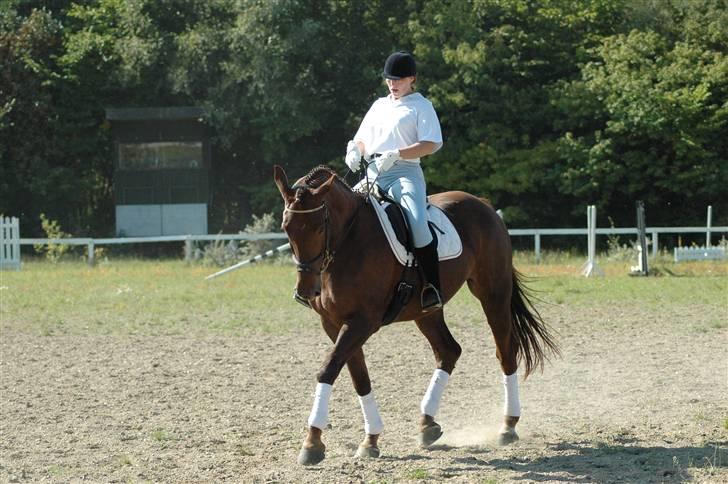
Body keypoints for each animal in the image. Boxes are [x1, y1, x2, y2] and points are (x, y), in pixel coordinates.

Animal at [272, 165, 556, 466]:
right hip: (427, 312)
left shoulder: (362, 322)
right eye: (286, 228)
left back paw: (508, 425)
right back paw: (427, 424)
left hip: (493, 294)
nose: (305, 291)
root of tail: (483, 204)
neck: (349, 241)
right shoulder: (334, 323)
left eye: (318, 227)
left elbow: (328, 369)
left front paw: (312, 442)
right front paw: (370, 439)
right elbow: (358, 377)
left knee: (505, 351)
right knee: (448, 351)